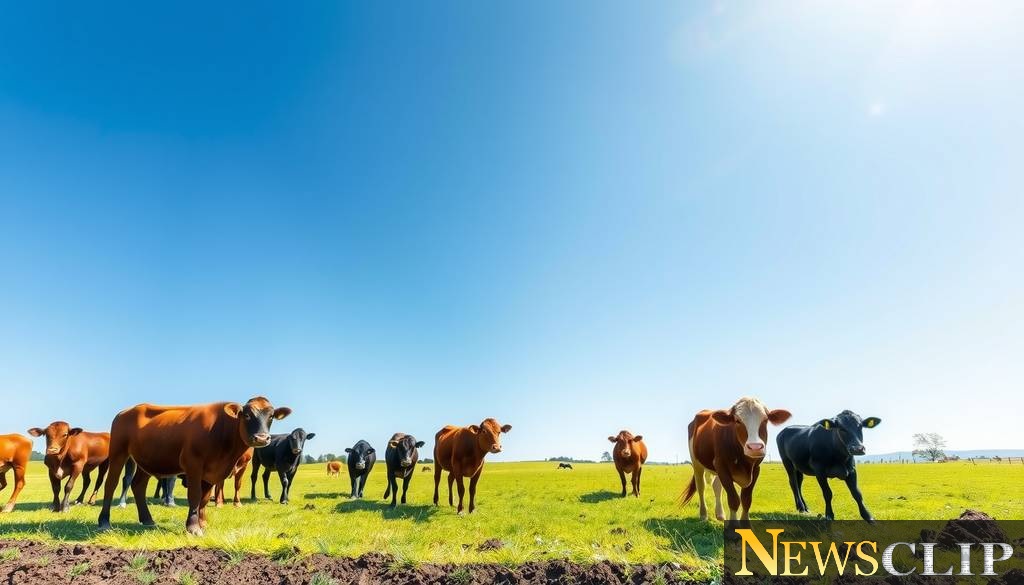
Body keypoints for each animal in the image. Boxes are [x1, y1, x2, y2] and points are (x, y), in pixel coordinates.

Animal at [97, 396, 291, 535]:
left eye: (271, 416)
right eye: (248, 415)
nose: (262, 438)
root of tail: (125, 411)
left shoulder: (211, 472)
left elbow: (204, 499)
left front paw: (202, 523)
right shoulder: (193, 464)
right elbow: (195, 495)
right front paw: (193, 527)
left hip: (147, 460)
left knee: (138, 486)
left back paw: (147, 519)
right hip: (118, 452)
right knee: (111, 484)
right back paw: (104, 522)